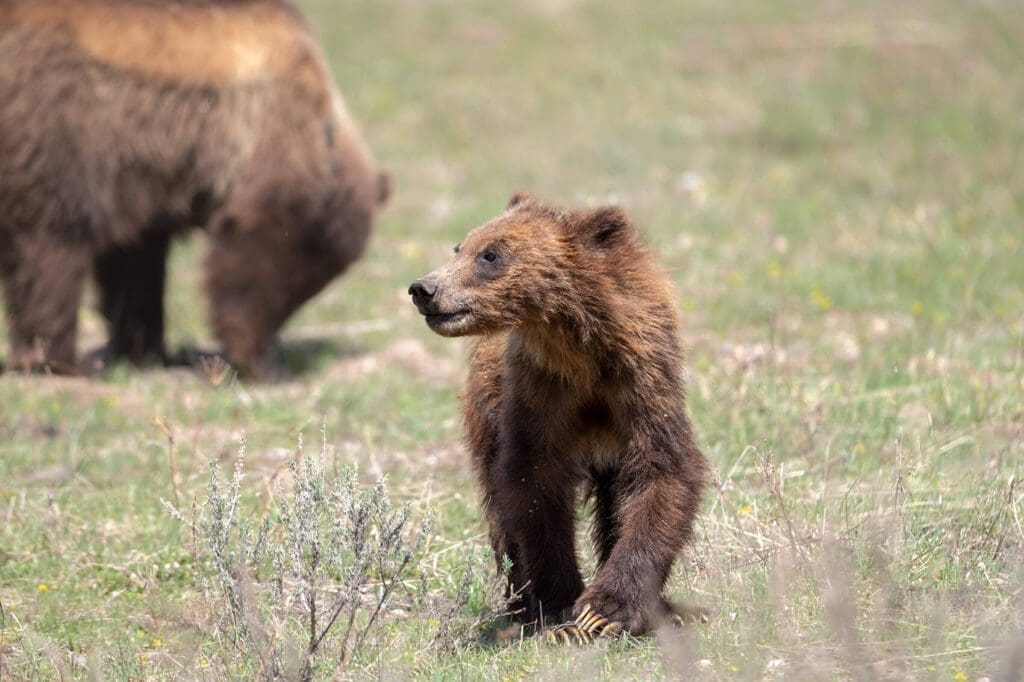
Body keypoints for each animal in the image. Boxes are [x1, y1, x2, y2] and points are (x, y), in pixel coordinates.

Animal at [0, 0, 387, 376]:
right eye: (302, 286)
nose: (276, 345)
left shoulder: (144, 179)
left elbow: (134, 263)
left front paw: (146, 350)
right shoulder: (260, 135)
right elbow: (256, 253)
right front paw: (254, 358)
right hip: (53, 121)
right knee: (51, 245)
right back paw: (58, 359)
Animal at [407, 193, 704, 638]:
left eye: (490, 254)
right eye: (460, 247)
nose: (424, 288)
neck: (580, 347)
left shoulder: (643, 383)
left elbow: (662, 473)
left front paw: (606, 610)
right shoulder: (539, 394)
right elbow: (533, 485)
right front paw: (561, 608)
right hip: (486, 415)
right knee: (500, 511)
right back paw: (518, 606)